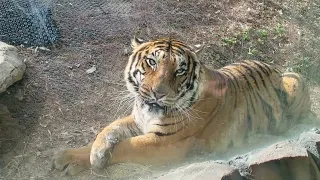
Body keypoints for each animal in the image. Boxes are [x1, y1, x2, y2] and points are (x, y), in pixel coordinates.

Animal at [52, 35, 318, 175]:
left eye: (179, 70)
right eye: (152, 62)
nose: (158, 94)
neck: (148, 111)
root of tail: (277, 69)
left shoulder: (165, 144)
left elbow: (125, 146)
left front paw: (91, 162)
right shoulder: (138, 119)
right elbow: (108, 130)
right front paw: (76, 156)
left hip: (295, 80)